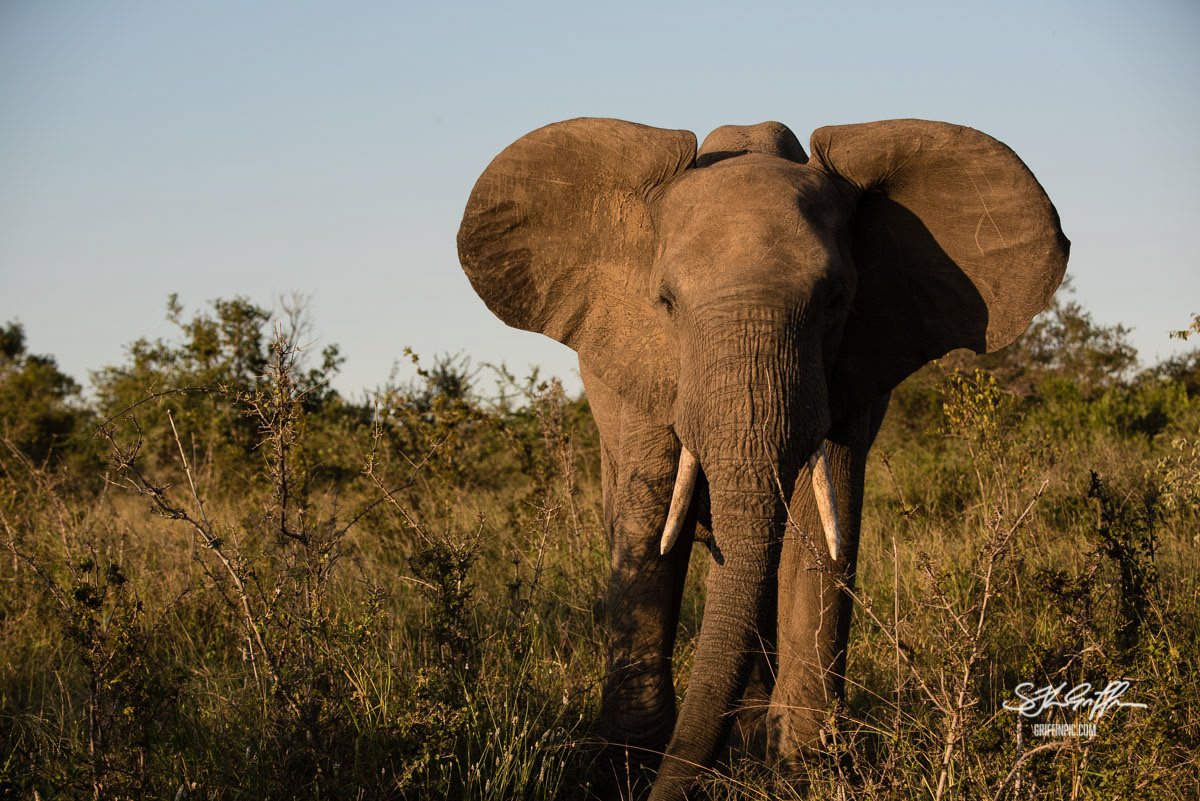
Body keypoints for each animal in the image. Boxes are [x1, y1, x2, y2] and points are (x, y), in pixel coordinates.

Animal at [456, 117, 1068, 800]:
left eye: (835, 300)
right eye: (665, 303)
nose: (667, 788)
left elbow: (820, 532)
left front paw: (806, 775)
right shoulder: (638, 371)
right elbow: (648, 528)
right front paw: (624, 772)